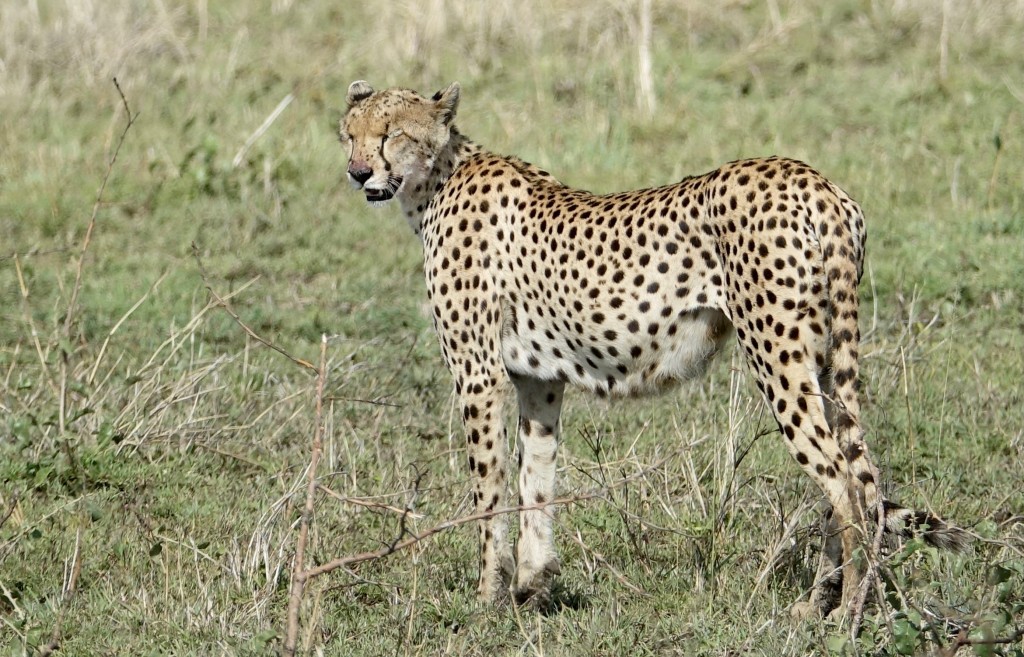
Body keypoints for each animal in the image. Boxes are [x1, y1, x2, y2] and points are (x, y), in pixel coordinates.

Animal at [342, 80, 966, 614]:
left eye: (392, 133)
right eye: (350, 132)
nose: (357, 172)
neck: (435, 180)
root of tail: (812, 178)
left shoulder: (479, 376)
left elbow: (490, 492)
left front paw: (487, 599)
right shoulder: (539, 382)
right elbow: (535, 481)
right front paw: (532, 585)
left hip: (778, 356)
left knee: (844, 483)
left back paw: (846, 613)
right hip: (828, 360)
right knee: (861, 475)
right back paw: (827, 603)